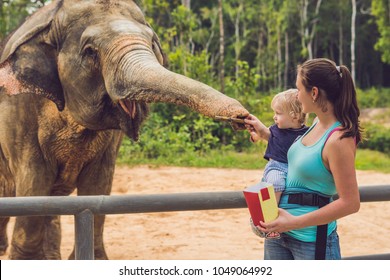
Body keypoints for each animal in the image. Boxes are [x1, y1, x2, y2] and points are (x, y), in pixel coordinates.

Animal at [0, 0, 250, 260]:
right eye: (90, 51)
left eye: (152, 42)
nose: (242, 118)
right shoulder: (17, 112)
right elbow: (34, 183)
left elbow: (98, 186)